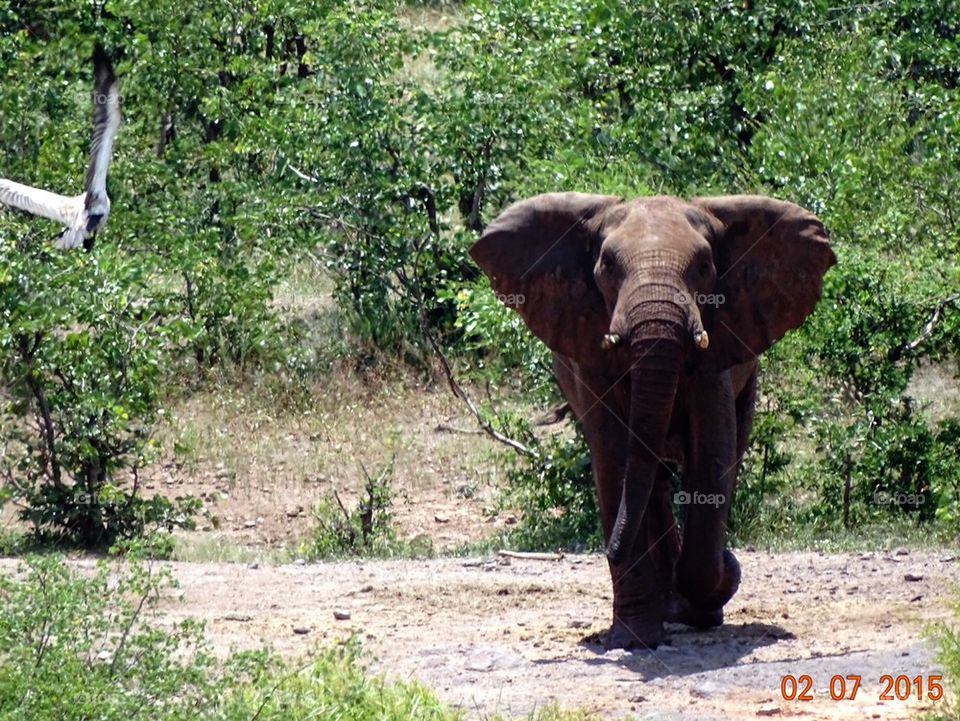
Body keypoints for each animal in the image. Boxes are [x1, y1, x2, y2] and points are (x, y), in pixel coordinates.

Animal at [469, 192, 835, 649]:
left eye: (704, 266)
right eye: (607, 266)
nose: (606, 550)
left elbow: (712, 452)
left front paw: (714, 587)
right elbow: (614, 456)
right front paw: (631, 639)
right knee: (649, 480)